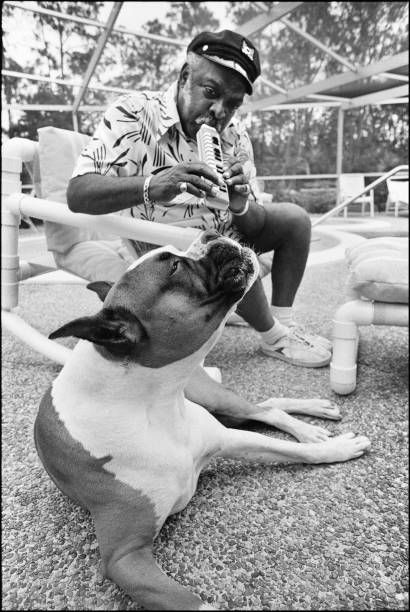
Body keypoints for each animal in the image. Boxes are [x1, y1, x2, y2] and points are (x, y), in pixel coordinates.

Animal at [33, 231, 370, 612]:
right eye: (175, 268)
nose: (209, 235)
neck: (155, 406)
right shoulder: (125, 558)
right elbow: (193, 603)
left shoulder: (228, 438)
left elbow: (298, 452)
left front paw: (336, 448)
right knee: (268, 408)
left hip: (214, 398)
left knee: (267, 410)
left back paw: (312, 422)